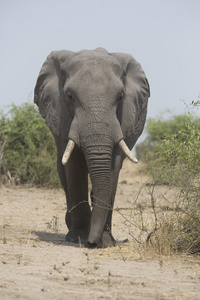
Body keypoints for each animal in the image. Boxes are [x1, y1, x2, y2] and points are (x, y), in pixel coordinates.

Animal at [34, 48, 150, 247]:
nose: (91, 243)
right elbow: (74, 169)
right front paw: (78, 238)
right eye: (70, 96)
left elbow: (113, 168)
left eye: (120, 97)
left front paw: (107, 242)